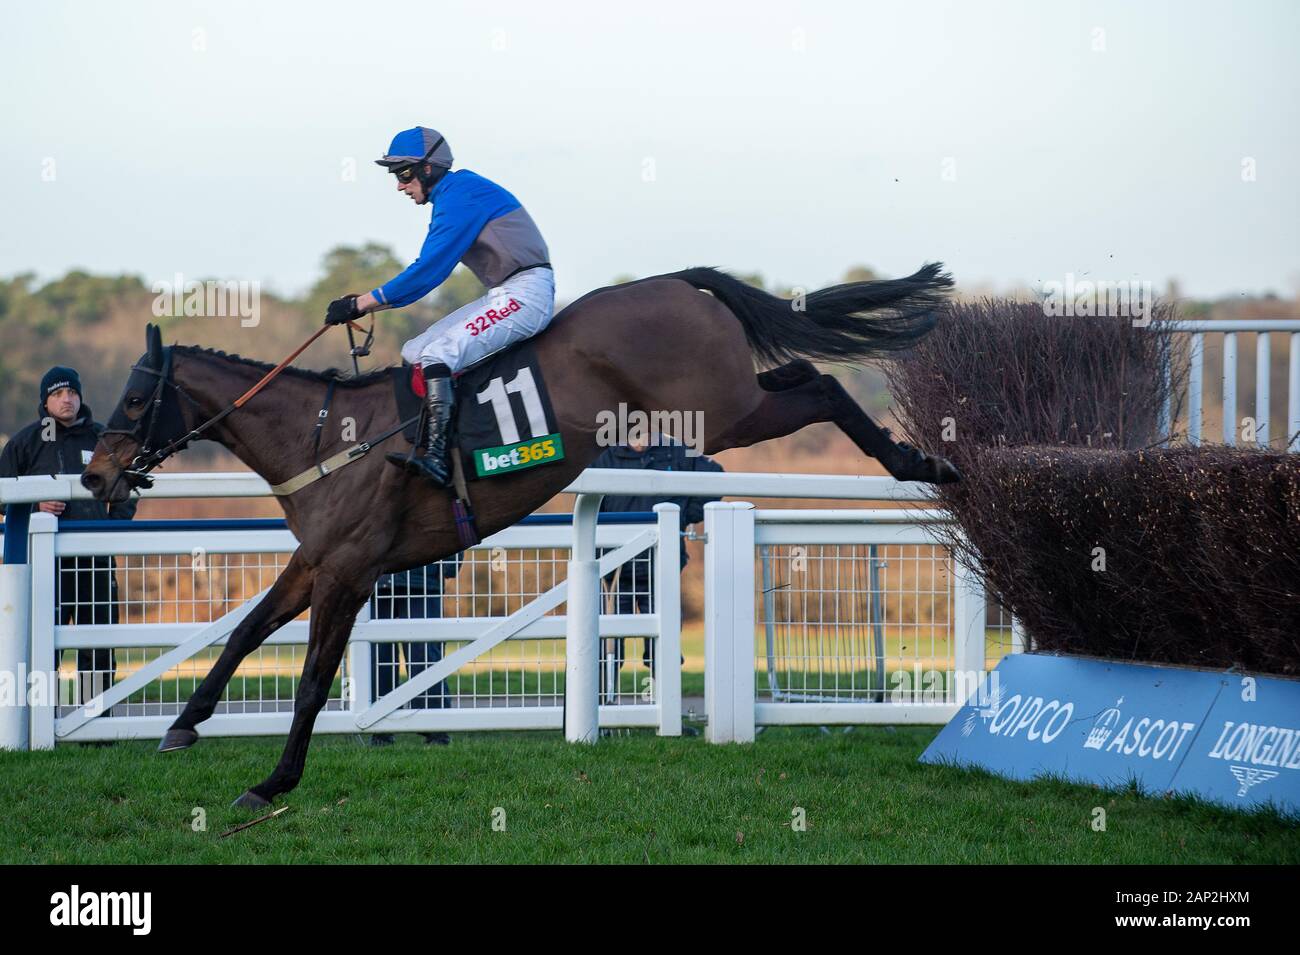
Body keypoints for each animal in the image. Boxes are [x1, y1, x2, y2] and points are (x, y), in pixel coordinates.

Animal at [81, 264, 960, 808]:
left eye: (135, 401)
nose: (94, 474)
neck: (324, 436)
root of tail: (682, 279)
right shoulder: (315, 558)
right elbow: (243, 633)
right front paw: (184, 722)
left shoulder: (351, 571)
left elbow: (309, 680)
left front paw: (272, 781)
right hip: (730, 401)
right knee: (807, 377)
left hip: (721, 409)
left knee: (821, 384)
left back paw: (922, 459)